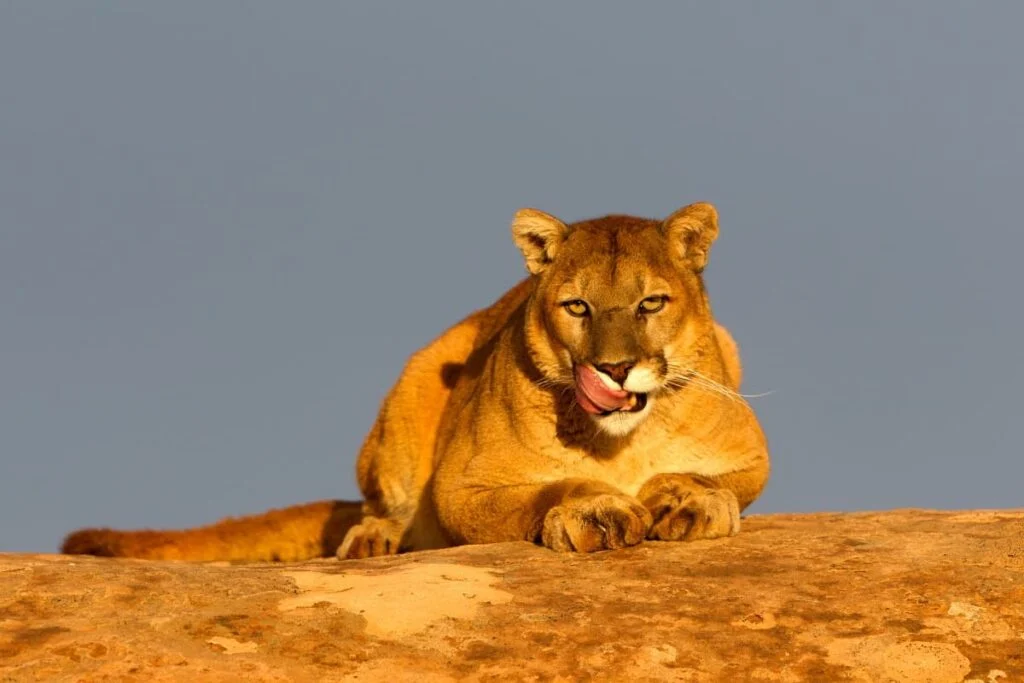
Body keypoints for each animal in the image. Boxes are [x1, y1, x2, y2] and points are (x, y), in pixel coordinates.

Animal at [62, 202, 770, 561]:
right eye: (577, 307)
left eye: (650, 303)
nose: (615, 368)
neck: (622, 440)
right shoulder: (462, 484)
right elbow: (550, 488)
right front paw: (592, 509)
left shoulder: (751, 457)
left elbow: (710, 476)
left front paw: (687, 500)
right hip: (416, 383)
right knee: (381, 507)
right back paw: (373, 540)